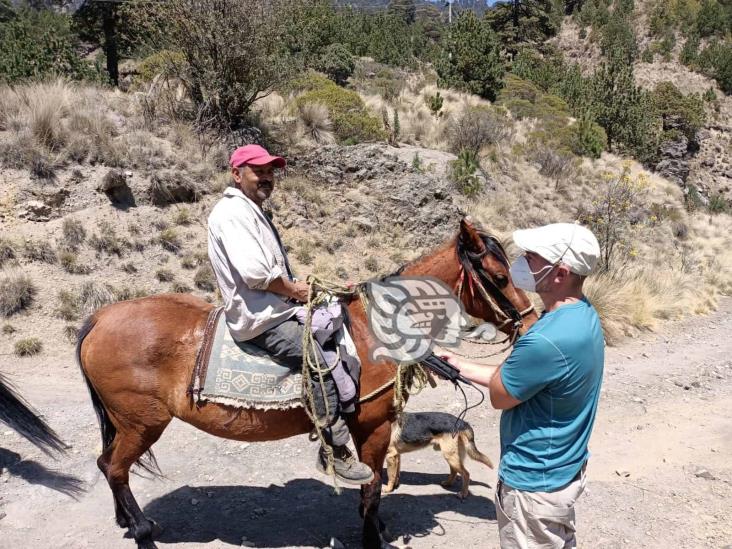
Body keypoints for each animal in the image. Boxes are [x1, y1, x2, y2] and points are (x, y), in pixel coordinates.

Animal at [76, 216, 536, 544]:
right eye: (499, 277)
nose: (531, 322)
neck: (372, 330)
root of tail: (100, 317)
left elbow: (372, 492)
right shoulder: (372, 426)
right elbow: (371, 490)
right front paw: (372, 536)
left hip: (124, 423)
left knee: (107, 464)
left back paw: (127, 521)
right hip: (142, 423)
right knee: (115, 468)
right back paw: (141, 532)